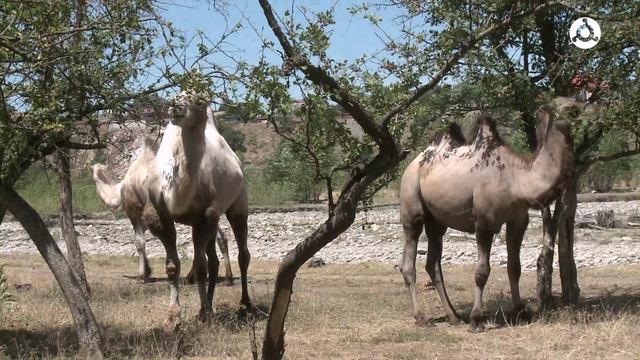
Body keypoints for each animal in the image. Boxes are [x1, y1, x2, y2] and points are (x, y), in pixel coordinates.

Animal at [92, 139, 235, 286]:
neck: (119, 191)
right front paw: (147, 271)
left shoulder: (134, 210)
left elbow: (139, 243)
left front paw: (141, 276)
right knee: (218, 237)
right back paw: (225, 278)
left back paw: (194, 277)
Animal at [146, 89, 251, 324]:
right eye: (176, 95)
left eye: (200, 102)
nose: (176, 107)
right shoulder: (161, 215)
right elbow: (172, 266)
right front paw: (173, 316)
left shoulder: (205, 215)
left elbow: (201, 266)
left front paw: (203, 313)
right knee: (213, 261)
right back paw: (210, 305)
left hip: (238, 203)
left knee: (242, 254)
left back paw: (244, 303)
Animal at [400, 102, 576, 332]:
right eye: (564, 106)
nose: (575, 109)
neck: (516, 180)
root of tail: (412, 164)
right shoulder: (484, 221)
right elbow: (481, 272)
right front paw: (477, 319)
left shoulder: (518, 219)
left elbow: (514, 267)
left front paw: (520, 312)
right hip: (411, 204)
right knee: (409, 261)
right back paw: (421, 318)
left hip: (436, 220)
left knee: (433, 263)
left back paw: (453, 316)